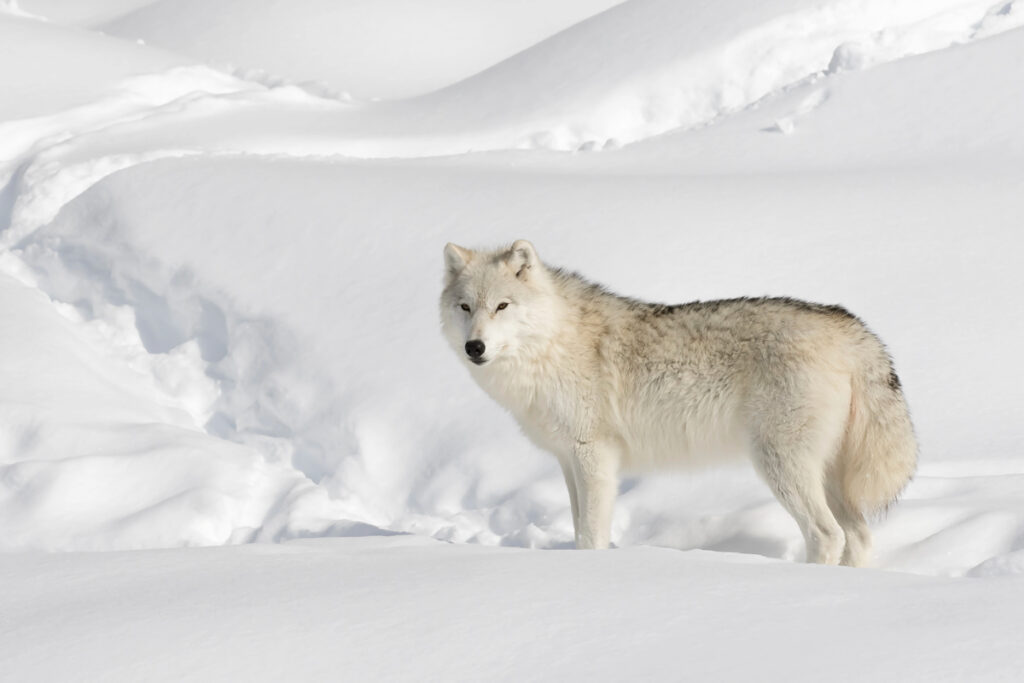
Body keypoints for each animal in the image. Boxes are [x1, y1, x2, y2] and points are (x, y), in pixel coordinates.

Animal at [440, 240, 917, 567]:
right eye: (465, 307)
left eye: (502, 306)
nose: (475, 347)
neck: (551, 344)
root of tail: (850, 327)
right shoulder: (567, 461)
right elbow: (578, 530)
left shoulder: (593, 456)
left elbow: (591, 534)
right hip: (828, 476)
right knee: (859, 536)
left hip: (780, 465)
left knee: (826, 534)